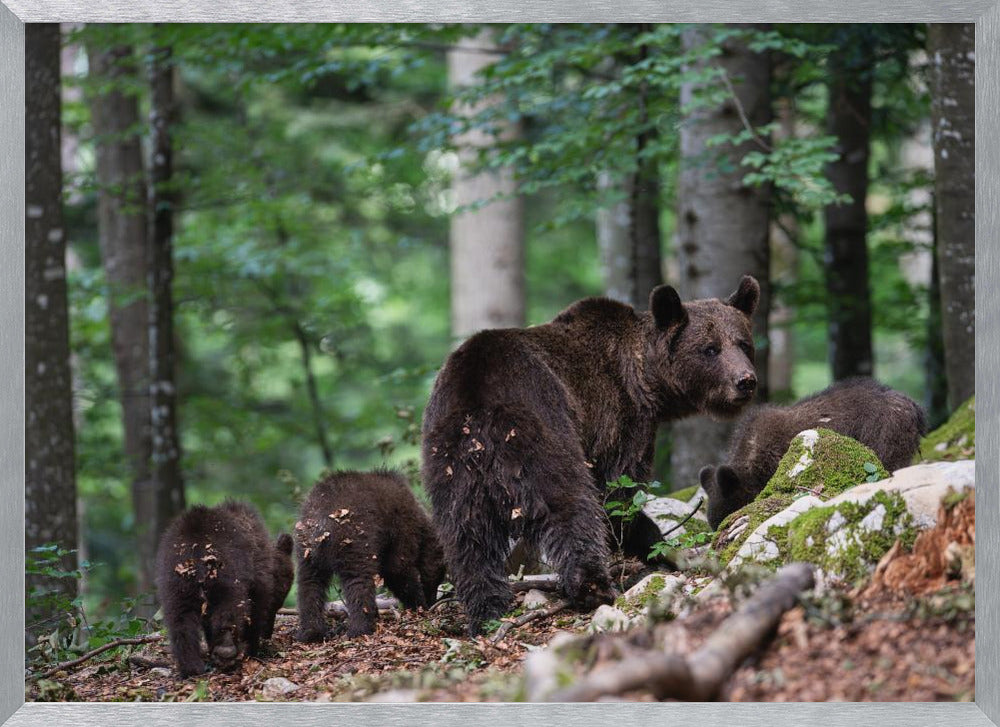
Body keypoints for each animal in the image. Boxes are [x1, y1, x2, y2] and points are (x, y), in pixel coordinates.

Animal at [155, 500, 294, 677]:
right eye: (279, 601)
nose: (268, 633)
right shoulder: (258, 578)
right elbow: (255, 610)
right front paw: (252, 648)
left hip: (176, 582)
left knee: (180, 620)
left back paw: (191, 666)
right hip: (225, 574)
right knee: (228, 609)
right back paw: (226, 651)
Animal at [293, 470, 446, 641]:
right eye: (441, 575)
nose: (433, 601)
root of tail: (320, 524)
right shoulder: (401, 528)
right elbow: (397, 569)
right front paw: (418, 604)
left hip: (306, 551)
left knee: (309, 584)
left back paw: (310, 632)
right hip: (353, 540)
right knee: (359, 581)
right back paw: (360, 628)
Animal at [421, 276, 761, 634]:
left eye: (743, 343)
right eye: (710, 348)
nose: (745, 381)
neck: (648, 381)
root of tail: (477, 398)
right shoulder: (619, 420)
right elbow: (619, 494)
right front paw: (657, 547)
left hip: (451, 460)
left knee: (466, 535)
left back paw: (485, 609)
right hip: (541, 424)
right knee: (569, 502)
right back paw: (593, 587)